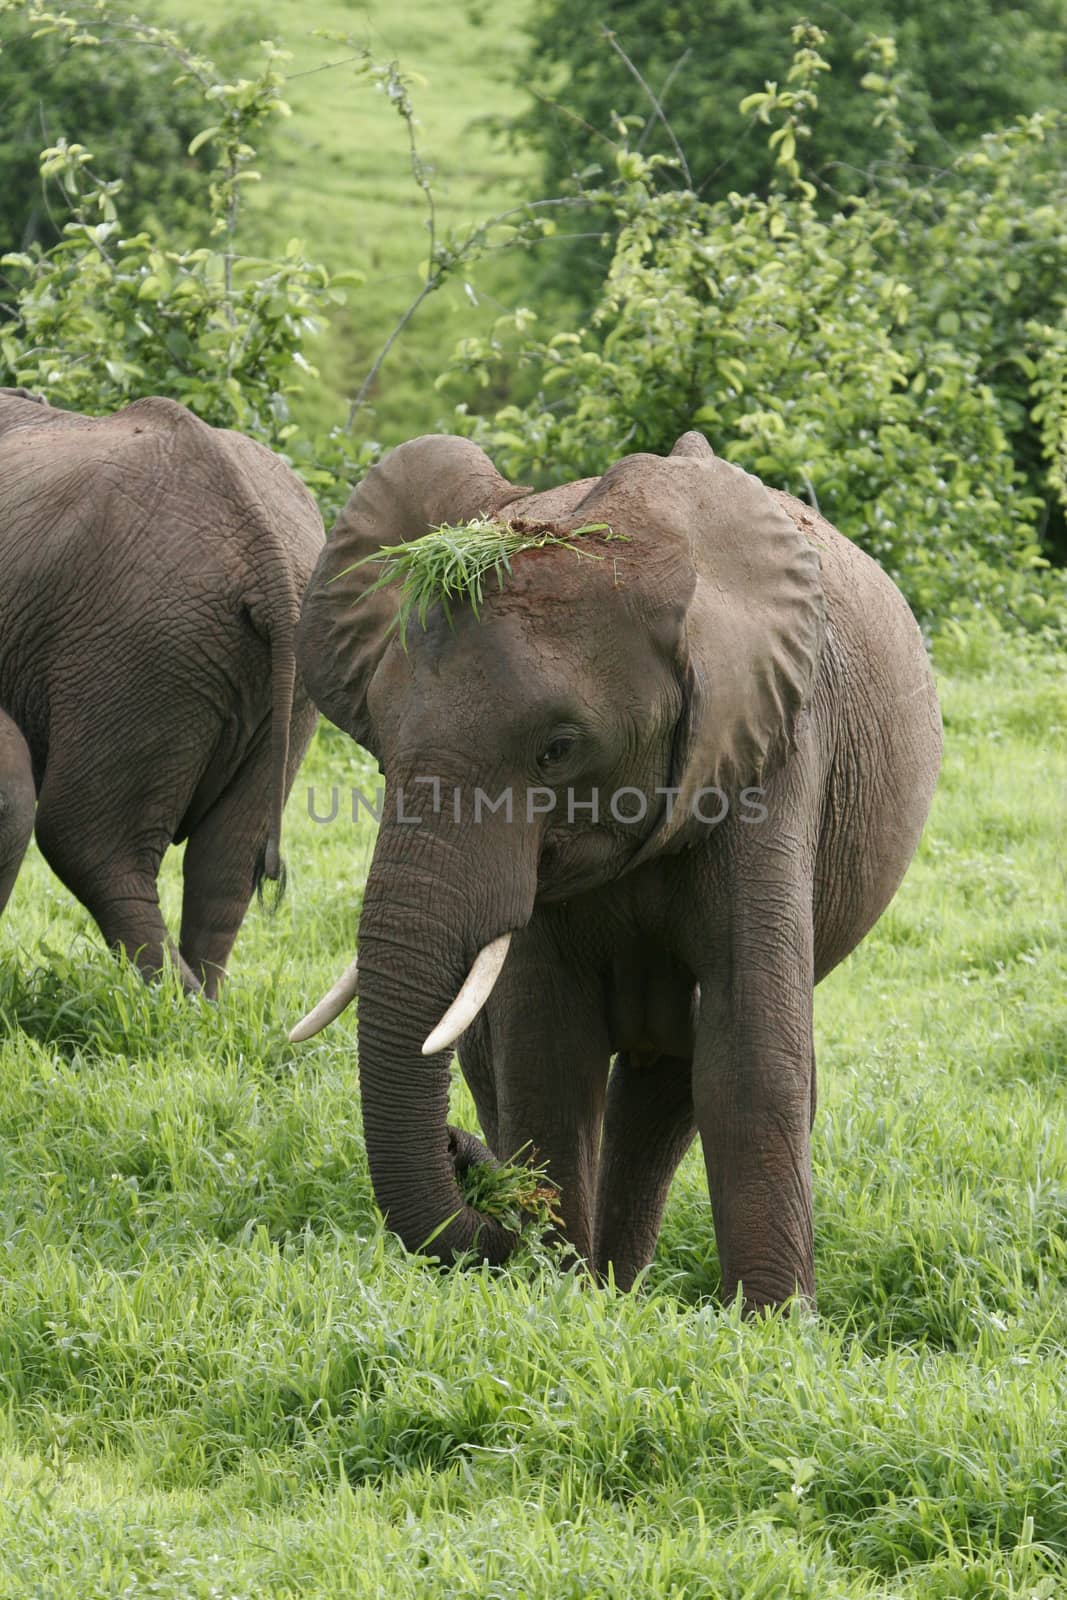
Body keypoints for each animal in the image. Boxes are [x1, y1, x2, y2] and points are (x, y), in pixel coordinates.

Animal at [1, 388, 326, 992]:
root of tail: (261, 549)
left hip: (135, 645)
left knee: (86, 841)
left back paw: (174, 1002)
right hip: (284, 670)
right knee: (227, 860)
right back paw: (206, 1006)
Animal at [292, 428, 940, 1312]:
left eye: (558, 750)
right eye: (380, 743)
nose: (464, 1159)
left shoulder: (770, 752)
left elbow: (750, 1052)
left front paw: (770, 1326)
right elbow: (546, 1059)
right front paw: (561, 1298)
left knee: (673, 1081)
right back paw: (608, 1288)